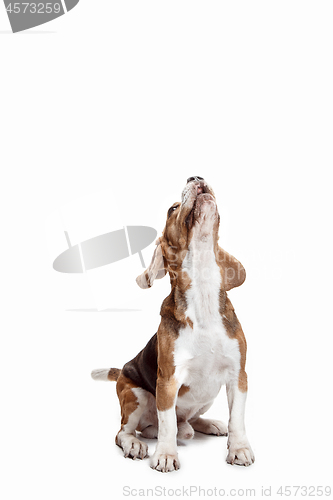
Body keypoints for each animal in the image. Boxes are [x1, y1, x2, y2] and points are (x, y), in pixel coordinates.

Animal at [91, 177, 254, 472]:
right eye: (172, 209)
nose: (195, 177)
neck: (202, 291)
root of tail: (121, 371)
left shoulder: (239, 376)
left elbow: (237, 418)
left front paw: (239, 449)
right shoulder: (167, 381)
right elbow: (167, 424)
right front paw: (166, 455)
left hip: (208, 396)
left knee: (187, 421)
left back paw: (208, 424)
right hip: (135, 395)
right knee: (129, 431)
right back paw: (137, 443)